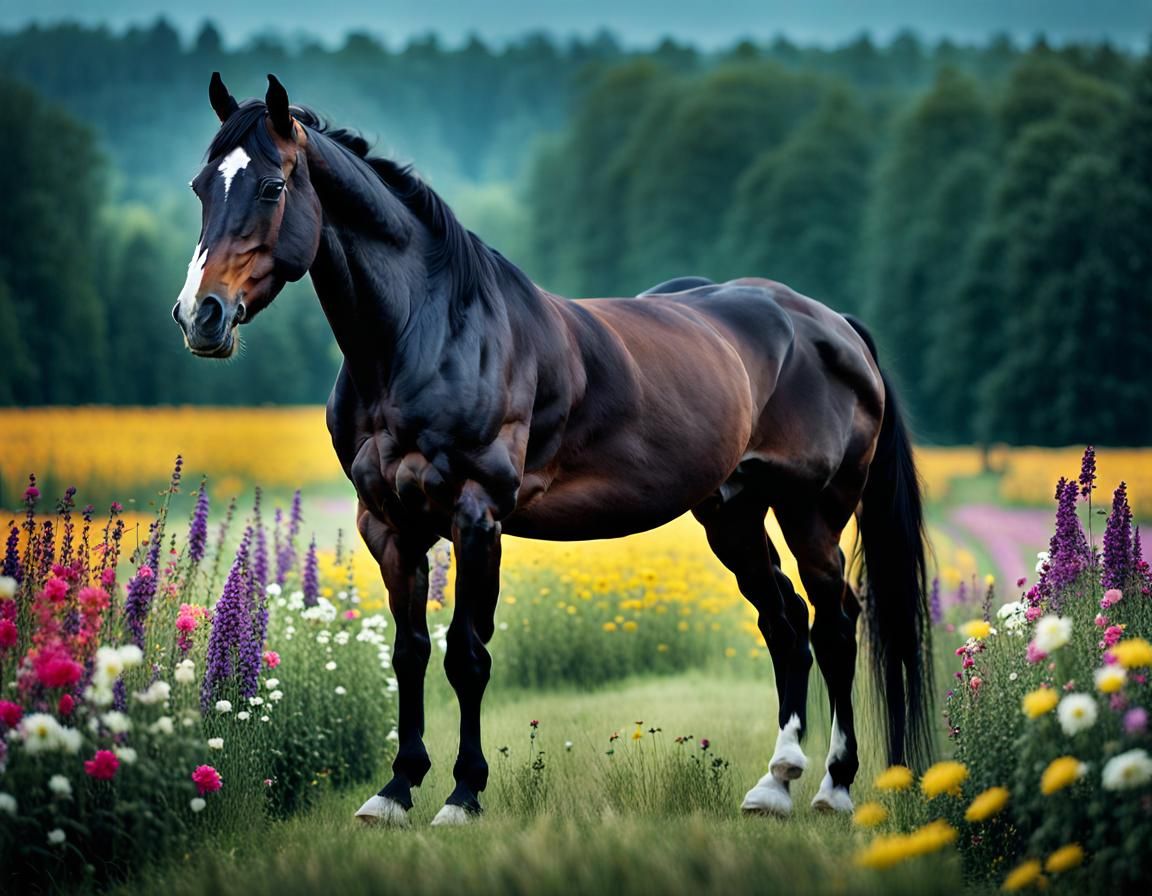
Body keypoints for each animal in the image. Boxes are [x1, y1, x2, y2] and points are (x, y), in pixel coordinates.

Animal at [174, 73, 933, 826]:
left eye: (273, 186)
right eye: (202, 185)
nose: (200, 315)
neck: (429, 332)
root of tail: (830, 324)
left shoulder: (476, 516)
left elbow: (466, 655)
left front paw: (464, 794)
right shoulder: (388, 523)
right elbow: (409, 652)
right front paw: (395, 790)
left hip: (813, 511)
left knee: (835, 625)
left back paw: (835, 786)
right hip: (733, 512)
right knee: (784, 620)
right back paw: (775, 783)